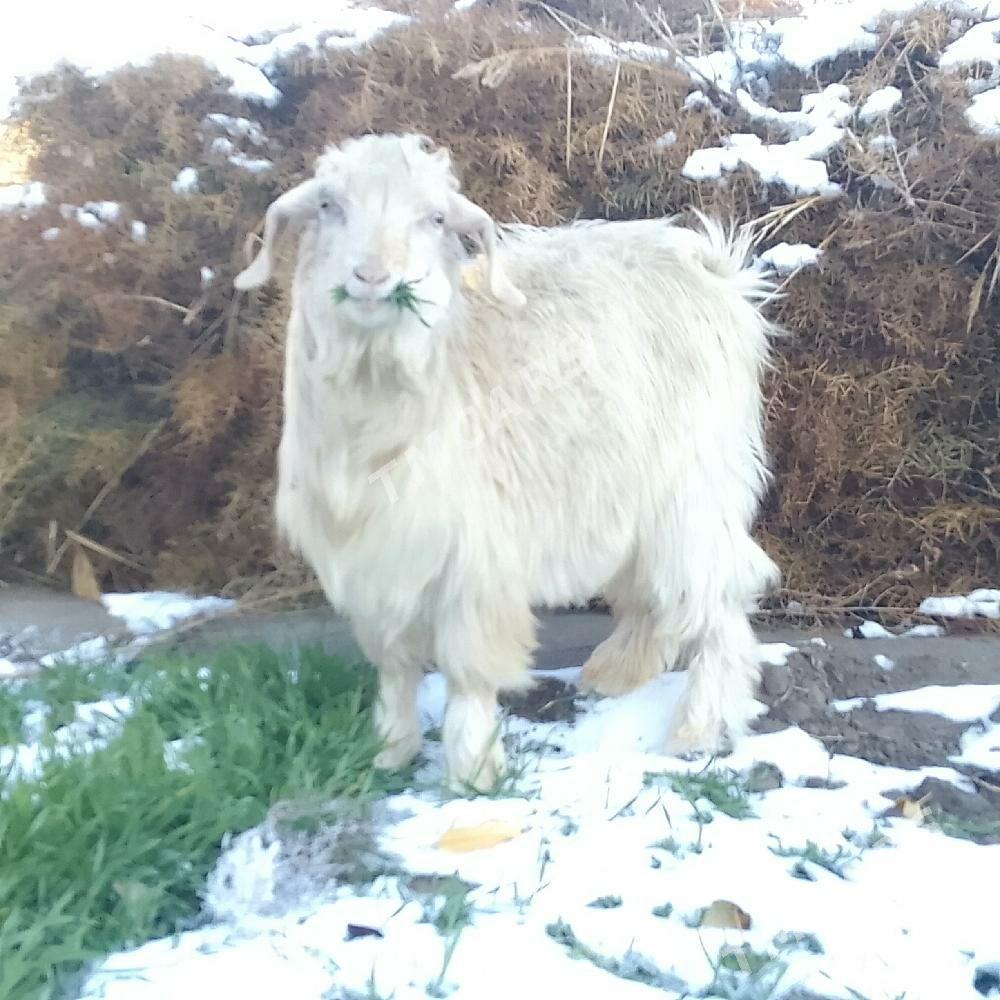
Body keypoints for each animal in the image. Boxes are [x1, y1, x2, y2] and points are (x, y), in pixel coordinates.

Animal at [236, 133, 780, 788]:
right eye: (327, 205)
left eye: (435, 218)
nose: (372, 276)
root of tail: (718, 272)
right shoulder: (374, 560)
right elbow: (394, 665)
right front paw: (388, 753)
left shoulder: (471, 553)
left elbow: (468, 669)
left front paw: (473, 770)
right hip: (623, 491)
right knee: (650, 590)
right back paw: (617, 672)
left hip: (693, 483)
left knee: (719, 593)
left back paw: (697, 729)